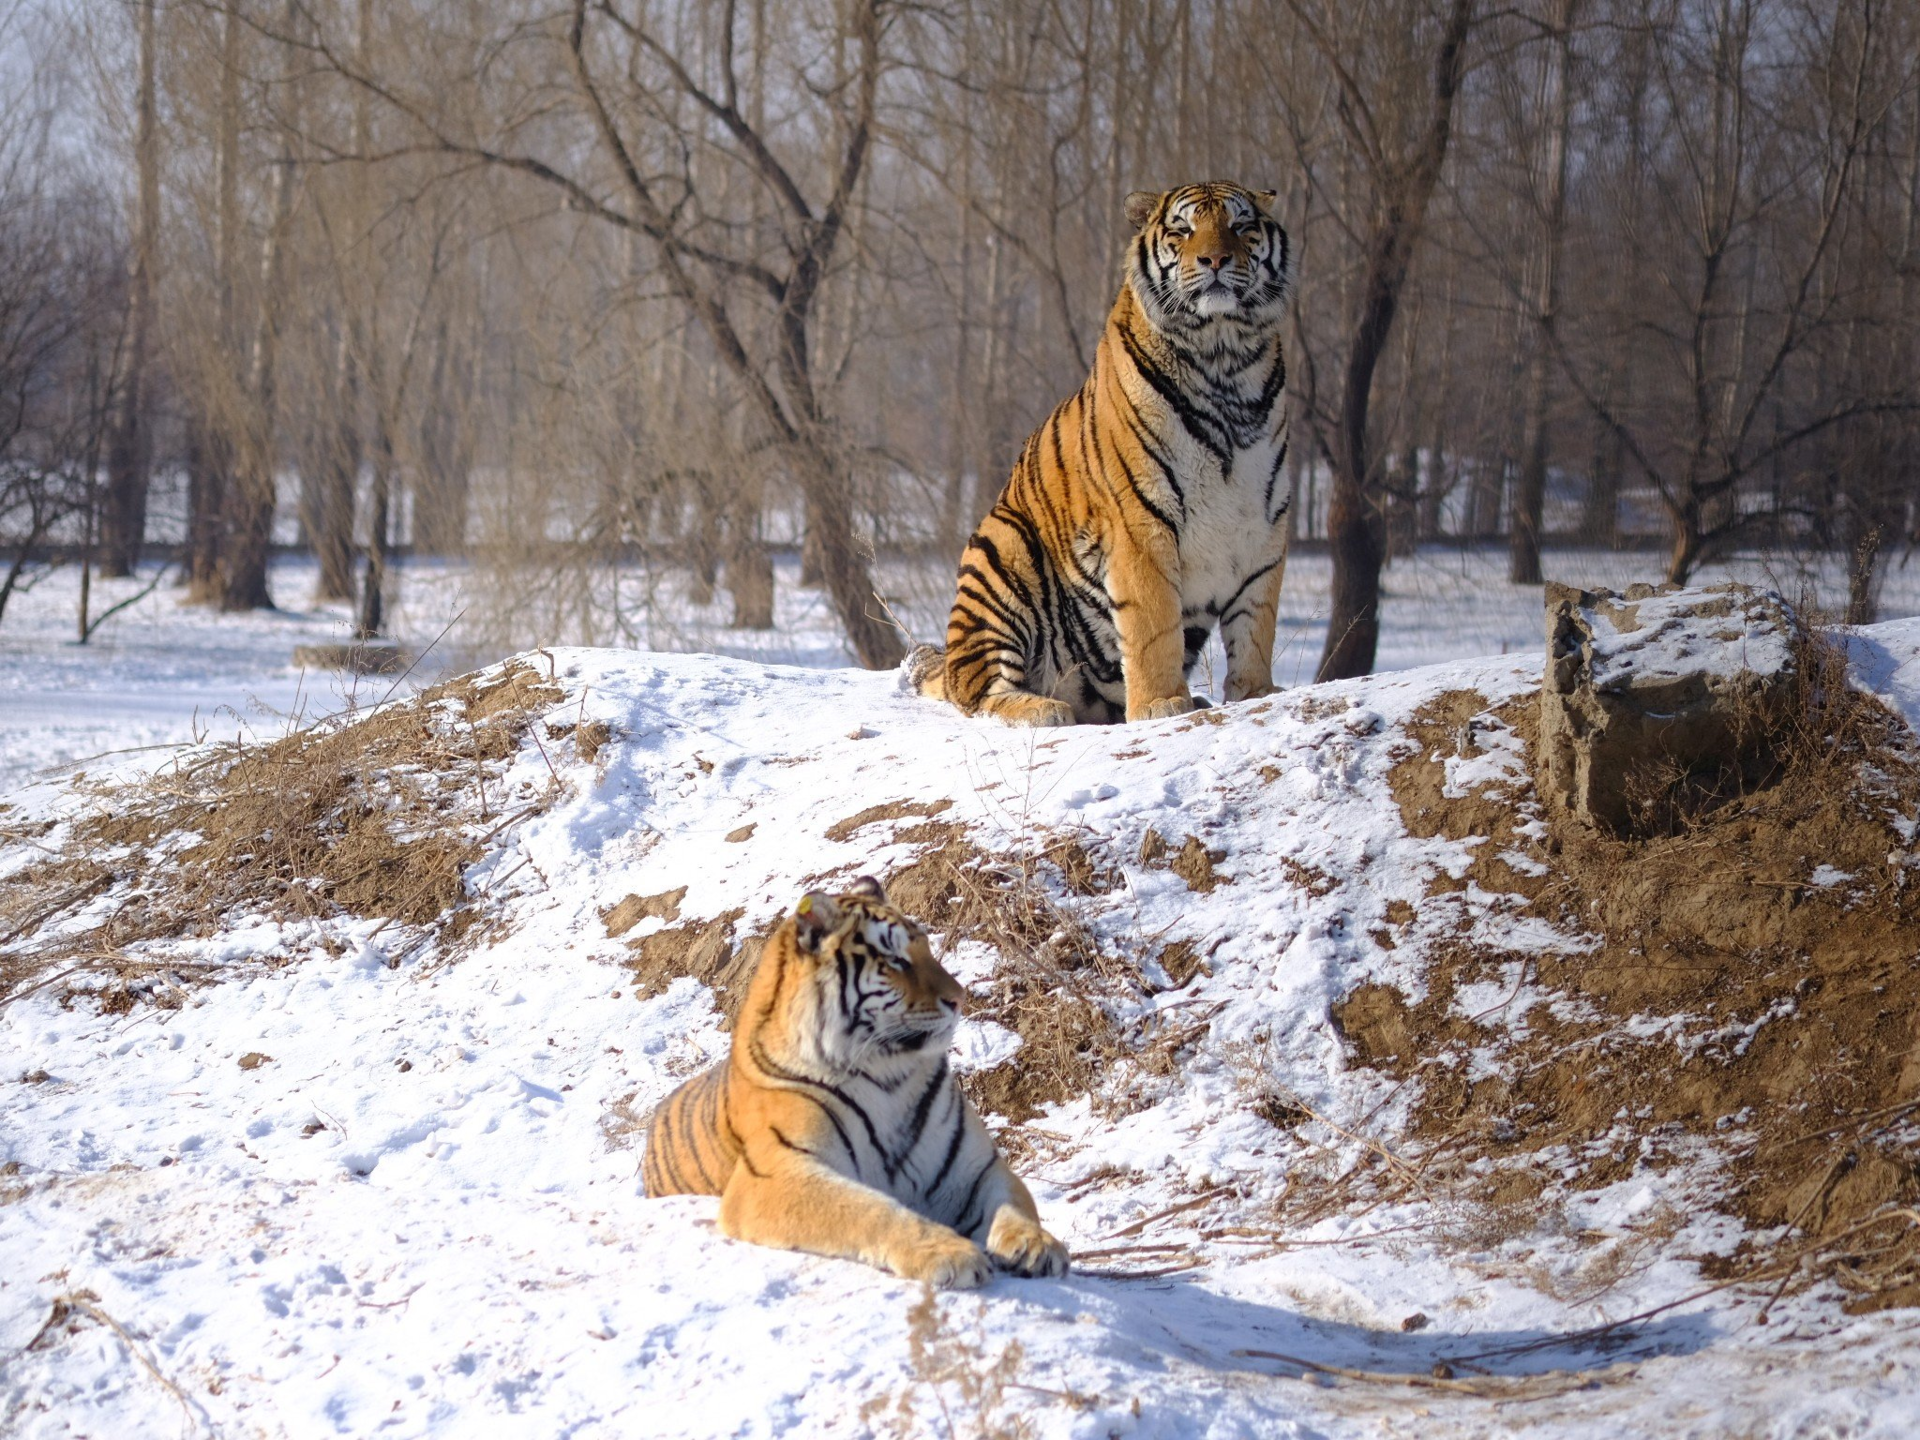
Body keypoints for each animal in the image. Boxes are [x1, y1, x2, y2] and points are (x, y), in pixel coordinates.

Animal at [641, 875, 1067, 1290]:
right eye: (895, 960)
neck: (889, 1073)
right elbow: (868, 1208)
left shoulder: (973, 1167)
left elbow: (1014, 1202)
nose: (959, 998)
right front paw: (948, 1253)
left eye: (926, 947)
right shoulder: (776, 1173)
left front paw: (1036, 1245)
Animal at [910, 180, 1297, 725]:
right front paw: (1161, 704)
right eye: (1183, 229)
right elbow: (1153, 624)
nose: (1216, 259)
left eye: (1241, 226)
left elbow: (1255, 625)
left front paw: (1257, 693)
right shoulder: (1140, 522)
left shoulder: (1265, 522)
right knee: (978, 692)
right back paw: (1044, 709)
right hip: (1000, 549)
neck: (1224, 359)